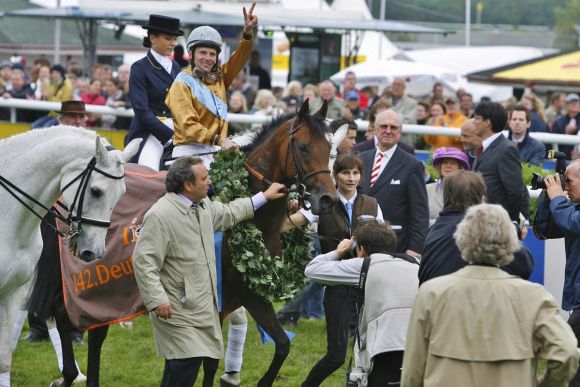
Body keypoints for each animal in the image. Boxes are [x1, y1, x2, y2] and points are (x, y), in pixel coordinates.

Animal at [28, 98, 336, 386]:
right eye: (304, 147)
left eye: (330, 150)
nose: (327, 199)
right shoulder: (216, 302)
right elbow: (208, 361)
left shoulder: (252, 295)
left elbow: (282, 345)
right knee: (70, 316)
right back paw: (71, 374)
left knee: (87, 325)